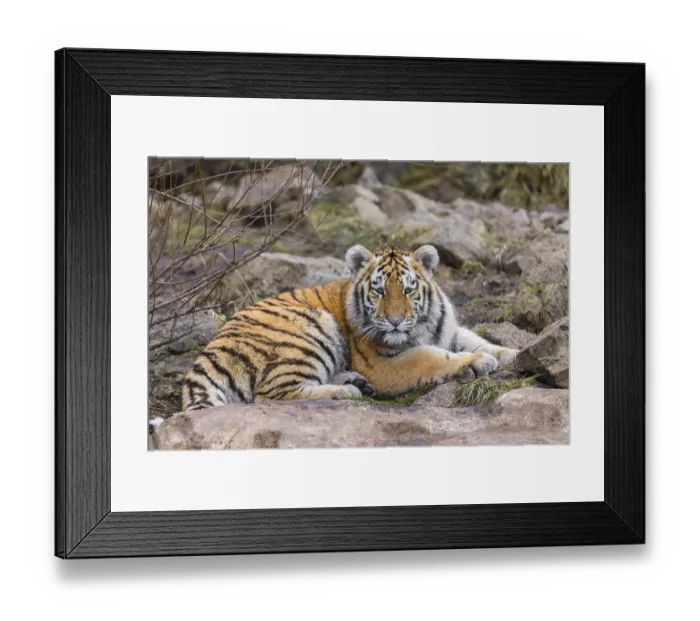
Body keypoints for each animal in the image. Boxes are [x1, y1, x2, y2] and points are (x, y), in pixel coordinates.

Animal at [177, 244, 519, 414]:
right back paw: (347, 391)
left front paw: (513, 353)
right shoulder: (385, 364)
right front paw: (476, 363)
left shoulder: (447, 330)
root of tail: (206, 355)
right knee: (270, 394)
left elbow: (476, 340)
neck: (421, 326)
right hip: (310, 329)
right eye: (379, 291)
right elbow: (432, 357)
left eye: (408, 290)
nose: (395, 321)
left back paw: (354, 381)